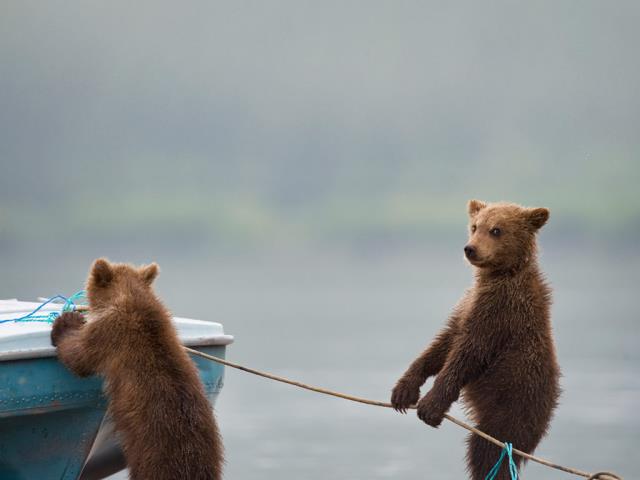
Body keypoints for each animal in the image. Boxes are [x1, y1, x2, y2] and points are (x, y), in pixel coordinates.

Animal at [390, 200, 560, 480]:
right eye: (474, 226)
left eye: (496, 230)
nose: (470, 248)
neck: (500, 274)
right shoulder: (468, 305)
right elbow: (443, 343)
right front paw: (404, 390)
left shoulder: (500, 312)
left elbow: (468, 354)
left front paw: (430, 405)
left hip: (512, 409)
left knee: (486, 452)